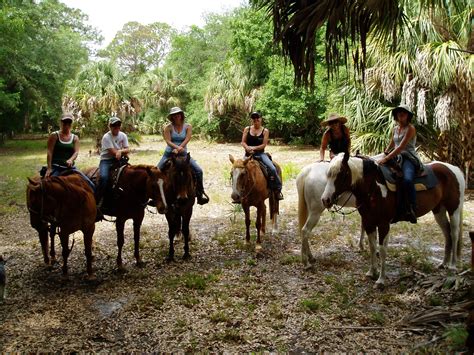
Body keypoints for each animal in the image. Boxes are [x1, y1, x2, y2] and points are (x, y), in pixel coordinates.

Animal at [320, 153, 464, 290]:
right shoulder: (368, 222)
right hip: (439, 210)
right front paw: (371, 272)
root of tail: (455, 169)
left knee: (454, 234)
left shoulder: (383, 224)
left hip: (454, 209)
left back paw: (453, 266)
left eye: (342, 174)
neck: (374, 187)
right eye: (328, 174)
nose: (325, 200)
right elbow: (372, 247)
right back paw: (443, 263)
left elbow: (382, 250)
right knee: (447, 233)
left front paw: (381, 280)